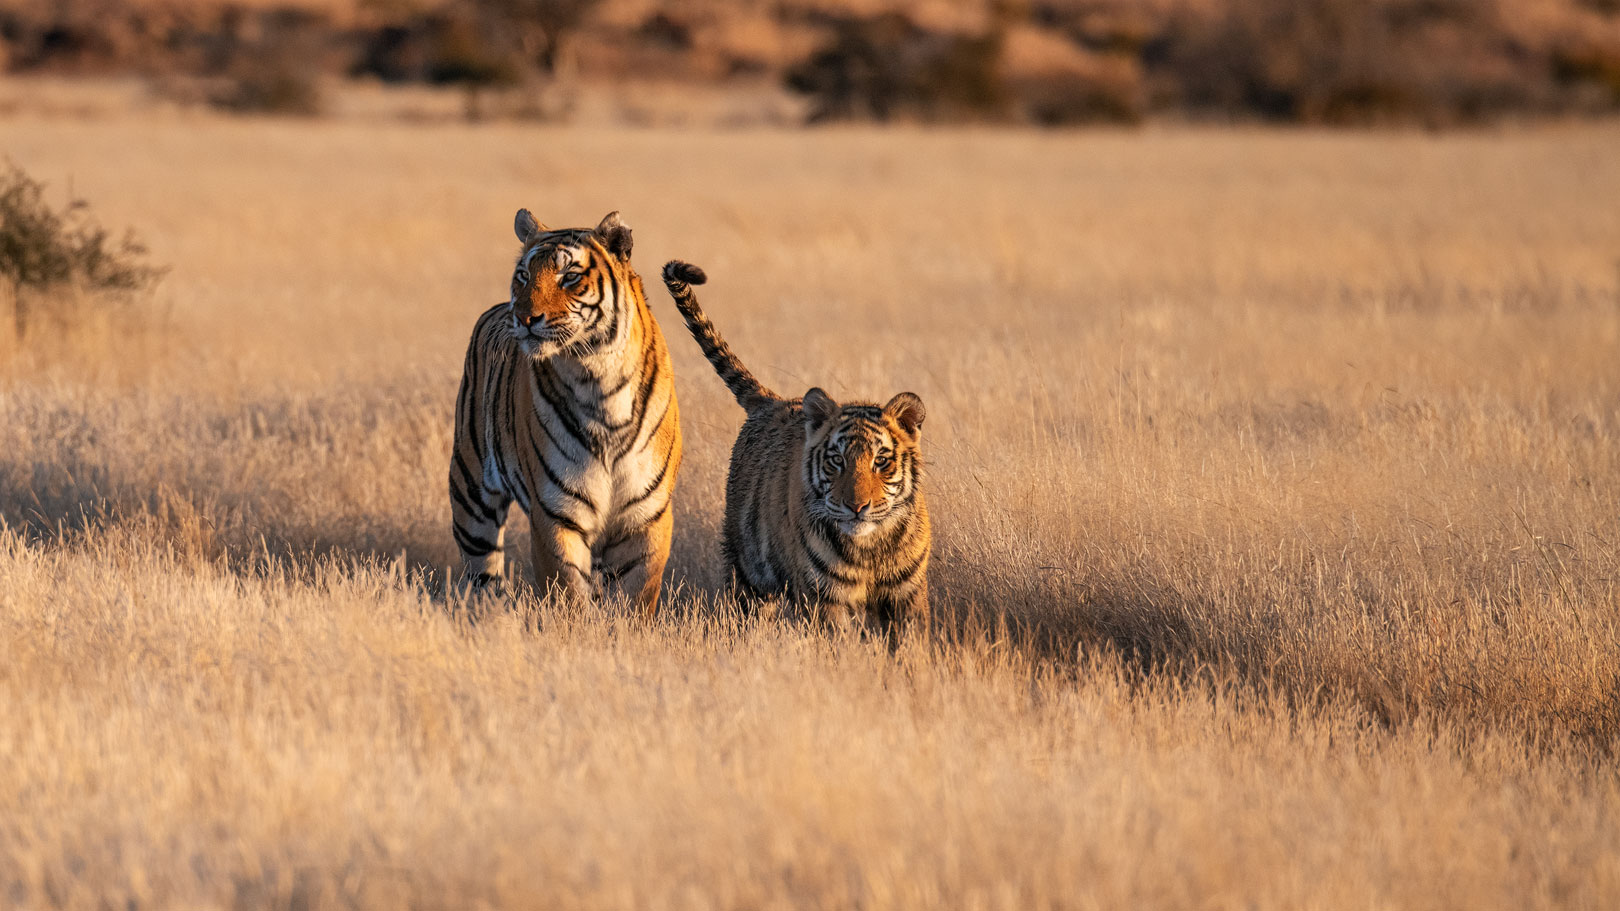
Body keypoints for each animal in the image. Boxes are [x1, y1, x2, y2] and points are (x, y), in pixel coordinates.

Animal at [450, 209, 683, 612]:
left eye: (570, 276)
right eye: (523, 275)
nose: (524, 318)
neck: (599, 379)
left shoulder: (645, 518)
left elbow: (635, 599)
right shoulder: (555, 513)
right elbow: (568, 593)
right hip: (471, 496)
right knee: (483, 578)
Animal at [660, 259, 939, 635]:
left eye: (881, 461)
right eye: (836, 460)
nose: (857, 508)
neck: (868, 549)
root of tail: (773, 400)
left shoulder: (906, 596)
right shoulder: (825, 598)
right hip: (748, 570)